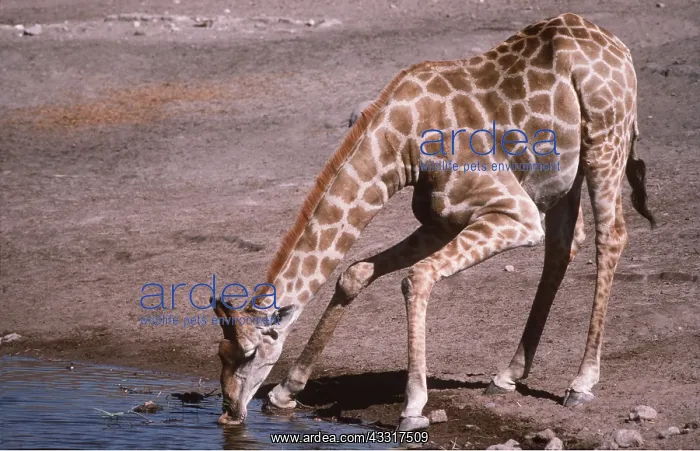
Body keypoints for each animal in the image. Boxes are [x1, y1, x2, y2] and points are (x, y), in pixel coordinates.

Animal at [213, 13, 655, 431]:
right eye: (220, 353)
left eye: (249, 353)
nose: (229, 413)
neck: (404, 145)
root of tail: (620, 48)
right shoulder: (442, 220)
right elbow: (355, 273)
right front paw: (287, 391)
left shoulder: (516, 214)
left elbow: (417, 277)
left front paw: (413, 407)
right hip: (566, 173)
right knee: (563, 245)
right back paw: (508, 375)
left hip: (605, 141)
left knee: (610, 236)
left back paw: (581, 383)